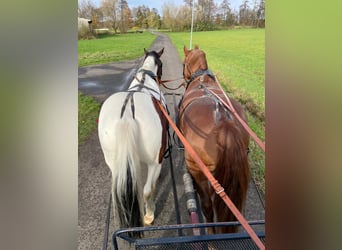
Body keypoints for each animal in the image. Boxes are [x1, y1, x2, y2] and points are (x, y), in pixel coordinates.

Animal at [97, 48, 167, 234]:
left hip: (113, 161)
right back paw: (149, 214)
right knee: (147, 191)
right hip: (154, 162)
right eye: (161, 64)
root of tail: (127, 114)